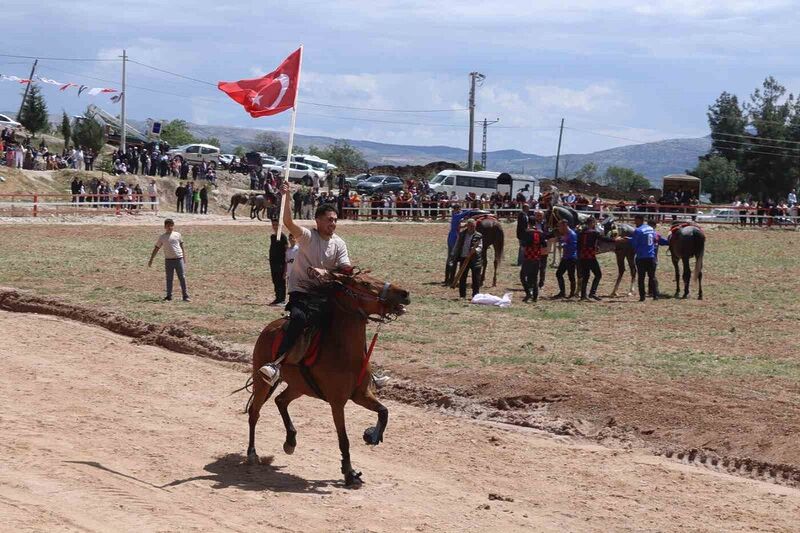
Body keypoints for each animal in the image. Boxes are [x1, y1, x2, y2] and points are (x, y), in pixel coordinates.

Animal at [245, 270, 410, 486]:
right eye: (365, 284)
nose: (404, 293)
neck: (345, 352)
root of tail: (269, 328)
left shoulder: (361, 394)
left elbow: (384, 411)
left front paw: (371, 436)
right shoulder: (337, 402)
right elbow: (344, 439)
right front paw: (349, 473)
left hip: (299, 386)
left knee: (280, 400)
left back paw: (290, 441)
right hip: (262, 382)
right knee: (254, 413)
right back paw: (252, 454)